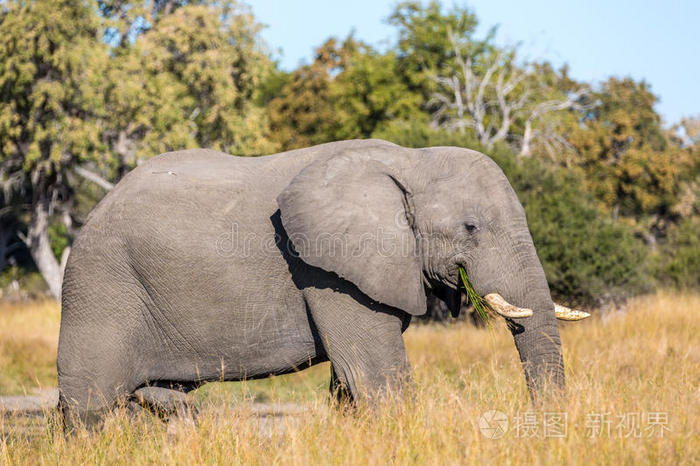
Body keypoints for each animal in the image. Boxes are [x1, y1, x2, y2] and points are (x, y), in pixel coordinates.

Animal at [57, 137, 588, 426]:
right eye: (471, 227)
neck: (411, 160)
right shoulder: (326, 268)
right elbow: (373, 373)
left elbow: (349, 381)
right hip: (101, 285)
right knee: (88, 405)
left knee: (159, 399)